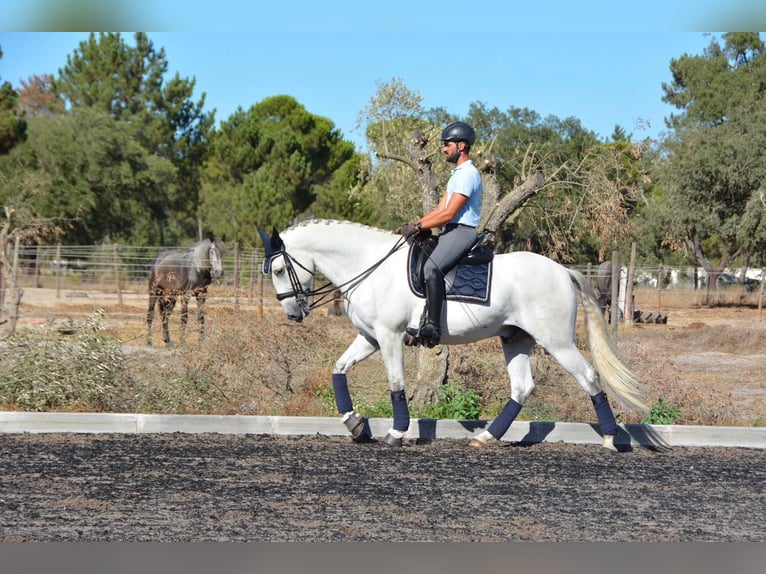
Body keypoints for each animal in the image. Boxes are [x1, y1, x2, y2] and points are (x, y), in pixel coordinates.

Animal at [262, 220, 648, 450]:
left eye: (279, 269)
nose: (293, 313)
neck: (369, 266)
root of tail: (562, 270)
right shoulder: (369, 338)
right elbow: (338, 370)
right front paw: (356, 424)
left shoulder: (388, 337)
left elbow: (396, 384)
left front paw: (395, 433)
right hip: (516, 338)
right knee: (522, 387)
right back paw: (486, 436)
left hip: (557, 341)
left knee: (589, 377)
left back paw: (610, 439)